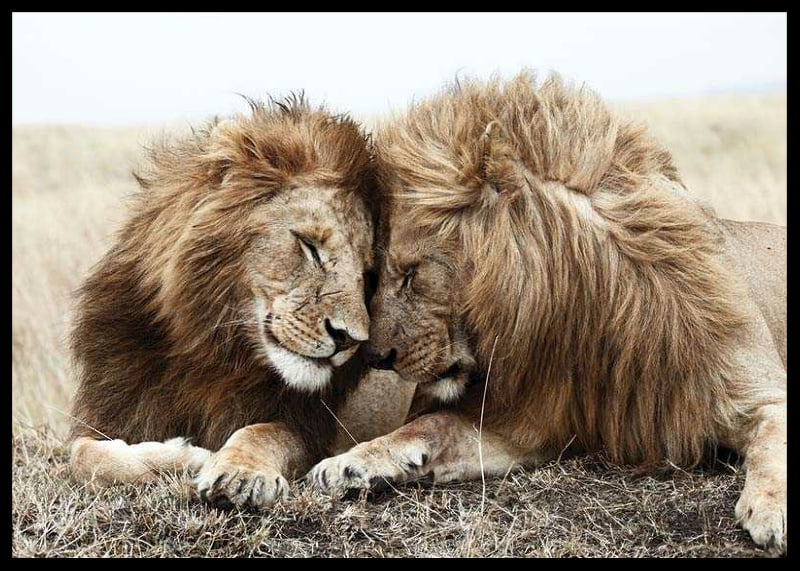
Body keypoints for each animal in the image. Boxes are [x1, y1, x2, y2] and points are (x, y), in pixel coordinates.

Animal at [68, 95, 415, 508]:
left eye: (367, 274)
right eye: (310, 246)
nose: (349, 339)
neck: (211, 350)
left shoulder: (308, 429)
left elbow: (261, 432)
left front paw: (238, 473)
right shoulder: (110, 412)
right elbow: (83, 455)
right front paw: (183, 456)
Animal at [308, 73, 787, 554]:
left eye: (411, 273)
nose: (375, 358)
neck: (586, 309)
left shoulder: (762, 392)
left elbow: (773, 444)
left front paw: (772, 510)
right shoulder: (529, 422)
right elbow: (432, 425)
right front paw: (350, 462)